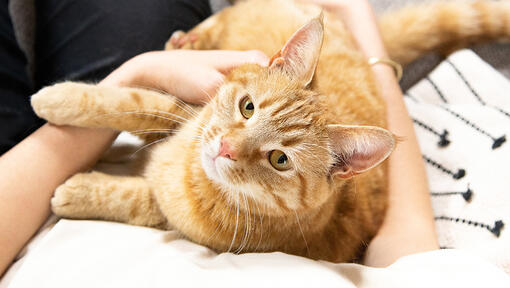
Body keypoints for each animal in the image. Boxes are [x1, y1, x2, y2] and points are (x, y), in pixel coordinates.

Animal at [30, 0, 510, 260]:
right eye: (247, 108)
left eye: (280, 160)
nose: (225, 147)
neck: (186, 170)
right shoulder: (184, 109)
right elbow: (130, 101)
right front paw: (59, 98)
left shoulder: (173, 214)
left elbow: (134, 197)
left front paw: (78, 192)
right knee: (217, 22)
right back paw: (186, 39)